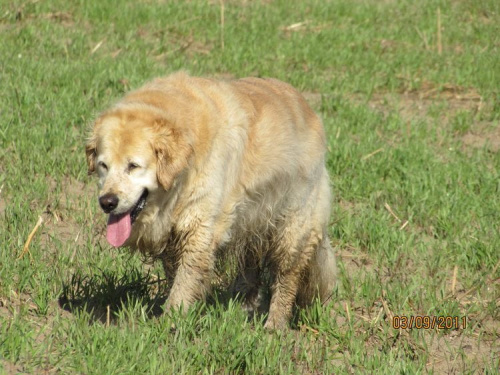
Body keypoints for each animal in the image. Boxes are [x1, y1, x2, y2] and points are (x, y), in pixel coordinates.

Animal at [86, 72, 338, 328]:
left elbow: (186, 277)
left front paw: (171, 319)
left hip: (294, 224)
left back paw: (275, 325)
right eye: (103, 165)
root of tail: (308, 109)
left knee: (287, 275)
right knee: (251, 262)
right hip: (251, 218)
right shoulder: (173, 234)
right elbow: (175, 273)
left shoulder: (200, 227)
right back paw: (243, 306)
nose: (107, 202)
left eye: (133, 166)